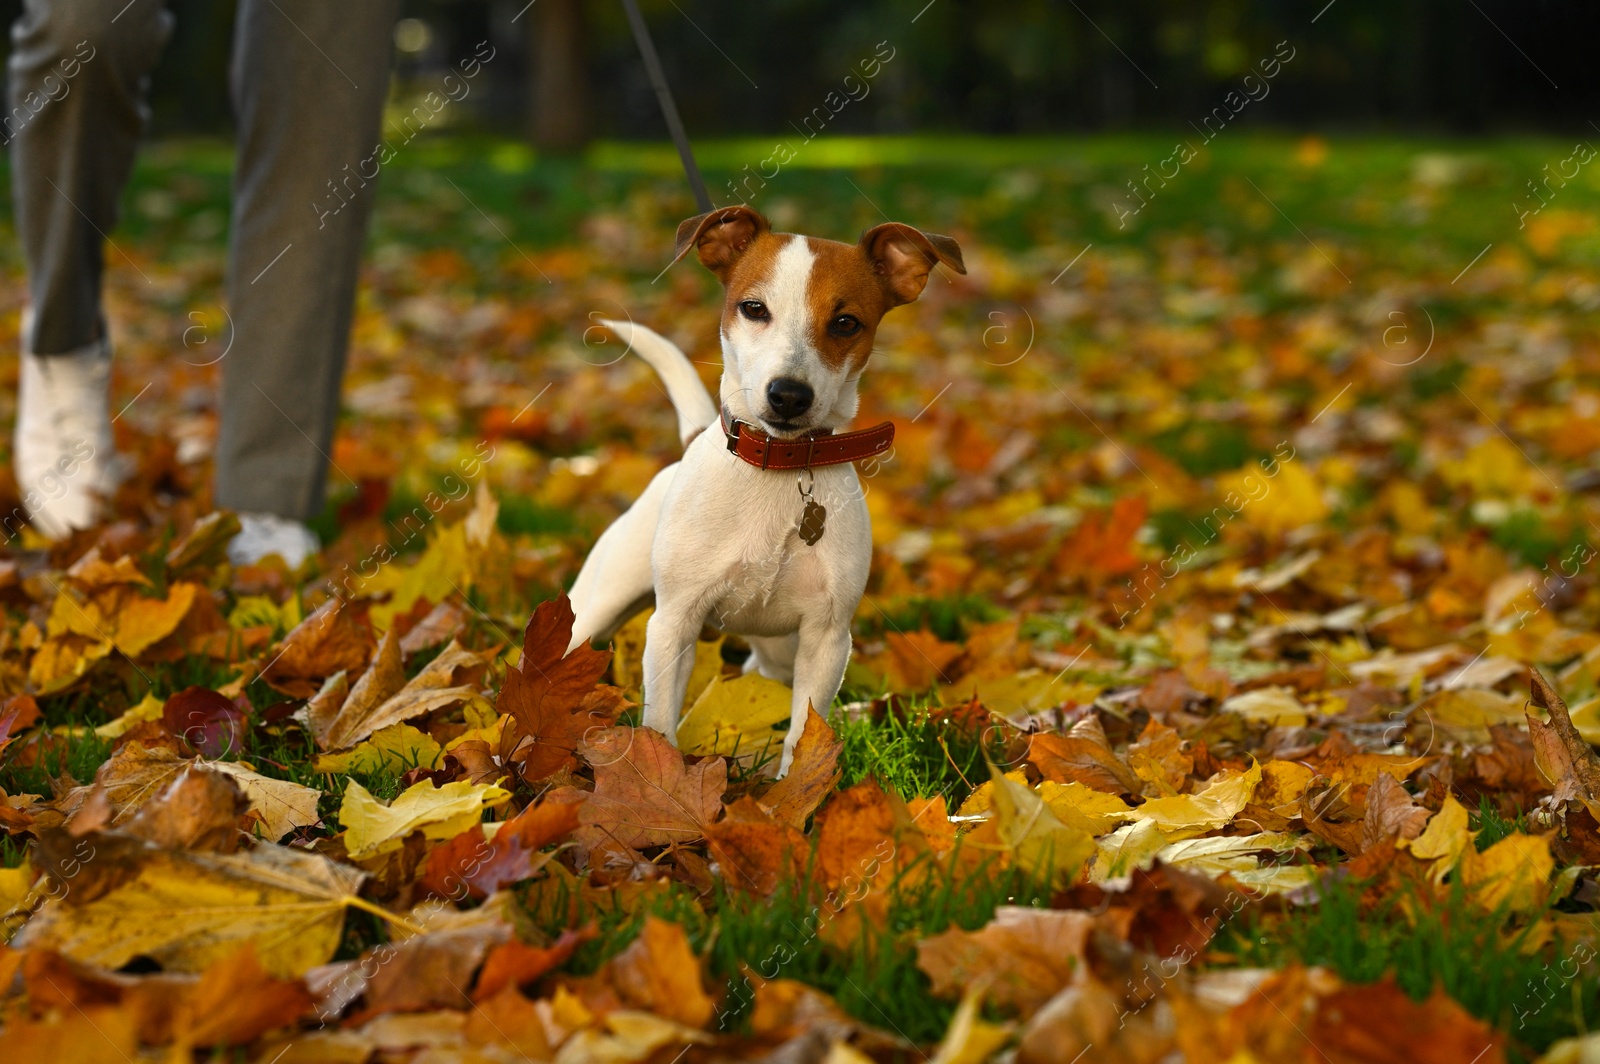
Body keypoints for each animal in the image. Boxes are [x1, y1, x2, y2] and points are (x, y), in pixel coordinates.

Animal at [566, 204, 960, 771]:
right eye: (753, 308)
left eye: (846, 323)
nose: (789, 395)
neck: (779, 465)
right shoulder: (673, 624)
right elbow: (660, 719)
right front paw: (659, 772)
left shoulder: (826, 638)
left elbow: (805, 731)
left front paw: (796, 788)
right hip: (597, 607)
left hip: (778, 651)